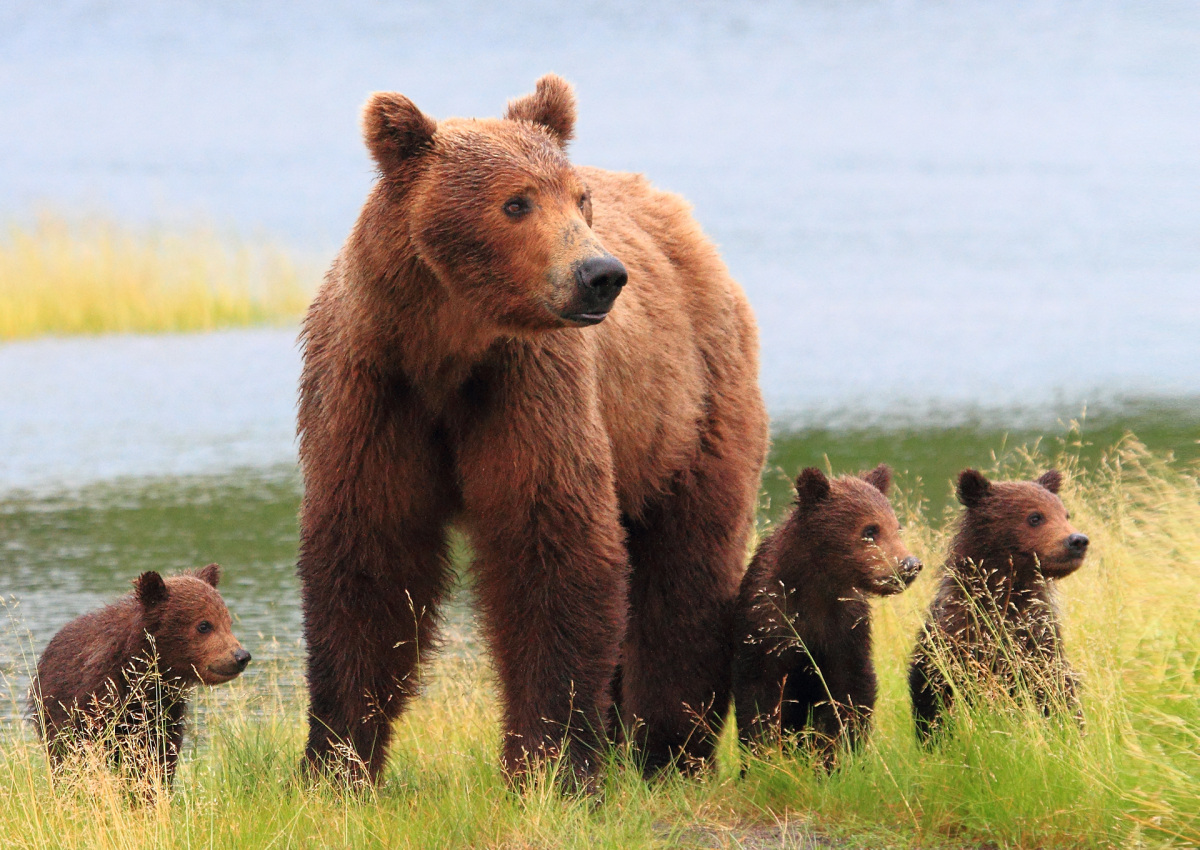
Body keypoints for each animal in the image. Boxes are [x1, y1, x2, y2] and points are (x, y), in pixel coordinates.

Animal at [31, 564, 250, 782]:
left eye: (228, 622)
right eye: (204, 625)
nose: (241, 656)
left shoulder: (164, 713)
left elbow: (158, 759)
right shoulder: (95, 704)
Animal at [300, 76, 768, 787]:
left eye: (580, 198)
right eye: (515, 202)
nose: (601, 274)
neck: (446, 347)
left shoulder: (528, 387)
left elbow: (550, 548)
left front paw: (551, 766)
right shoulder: (372, 390)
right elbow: (369, 559)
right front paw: (335, 764)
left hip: (687, 413)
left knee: (685, 570)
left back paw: (666, 749)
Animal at [729, 465, 916, 763]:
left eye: (897, 527)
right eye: (870, 529)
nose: (910, 565)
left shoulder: (846, 629)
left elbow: (850, 690)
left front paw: (838, 754)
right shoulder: (767, 623)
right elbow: (759, 695)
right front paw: (765, 757)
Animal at [907, 468, 1089, 739]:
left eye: (1065, 514)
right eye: (1035, 516)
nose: (1078, 541)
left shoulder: (1040, 641)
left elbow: (1057, 693)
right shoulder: (953, 641)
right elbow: (933, 697)